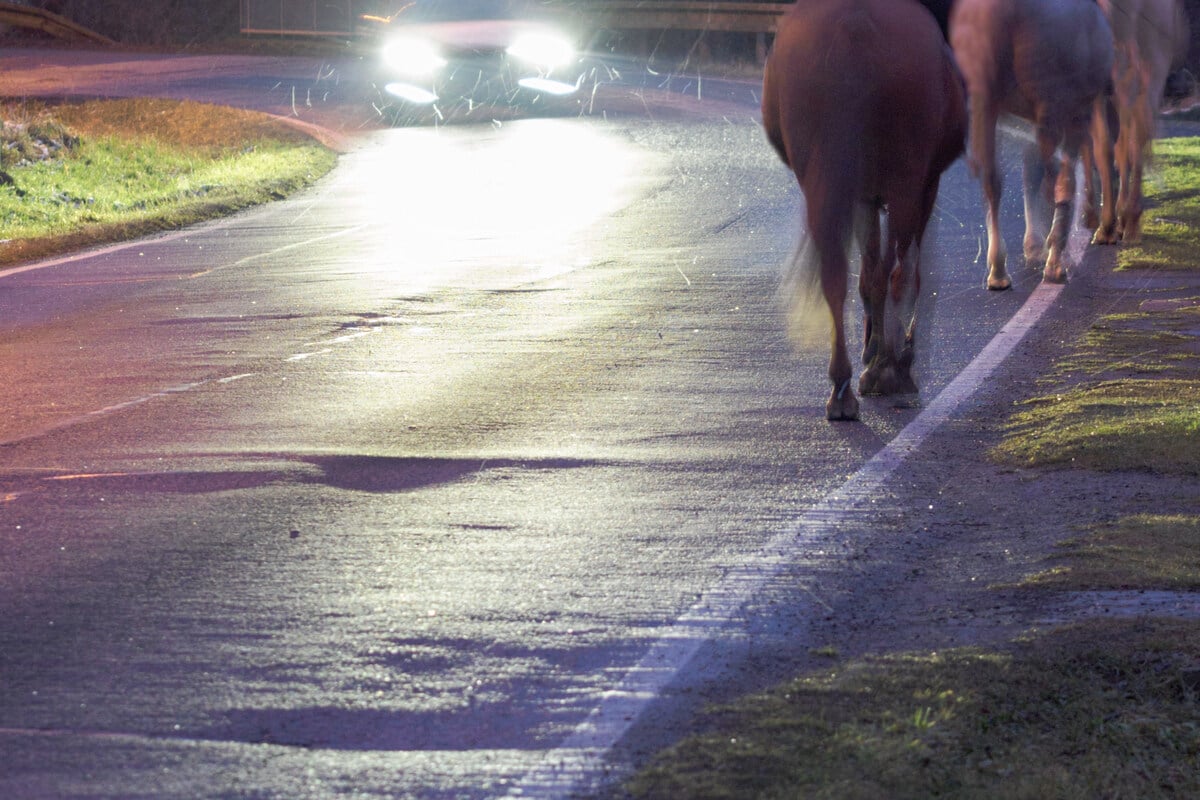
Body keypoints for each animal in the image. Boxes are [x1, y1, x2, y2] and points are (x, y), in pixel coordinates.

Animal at [763, 0, 969, 422]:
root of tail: (853, 24)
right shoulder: (922, 186)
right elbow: (896, 273)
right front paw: (887, 359)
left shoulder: (860, 195)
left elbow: (870, 274)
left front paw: (874, 355)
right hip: (906, 184)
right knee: (901, 273)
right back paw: (894, 371)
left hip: (825, 184)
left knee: (835, 275)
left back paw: (842, 387)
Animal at [950, 0, 1108, 291]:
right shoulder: (1076, 113)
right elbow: (1061, 176)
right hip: (1051, 107)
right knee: (1056, 177)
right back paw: (1055, 260)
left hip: (984, 102)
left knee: (993, 181)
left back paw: (999, 271)